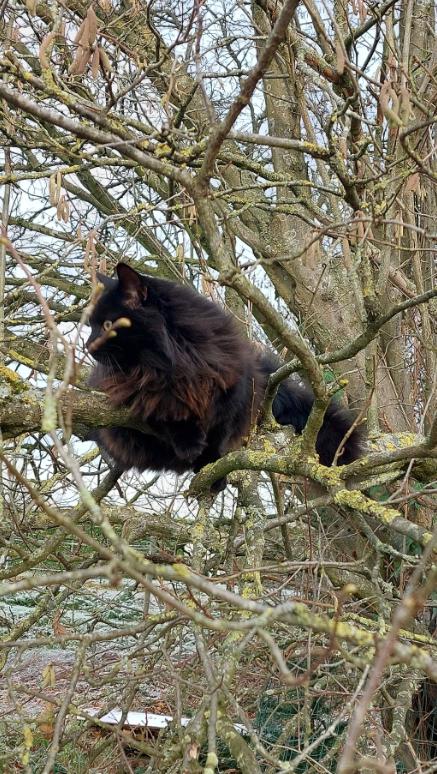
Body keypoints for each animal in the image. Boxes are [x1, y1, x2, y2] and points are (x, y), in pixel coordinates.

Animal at [86, 262, 364, 492]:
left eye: (107, 325)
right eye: (91, 326)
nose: (87, 346)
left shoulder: (229, 394)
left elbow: (216, 441)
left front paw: (211, 471)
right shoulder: (140, 401)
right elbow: (170, 417)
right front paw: (189, 443)